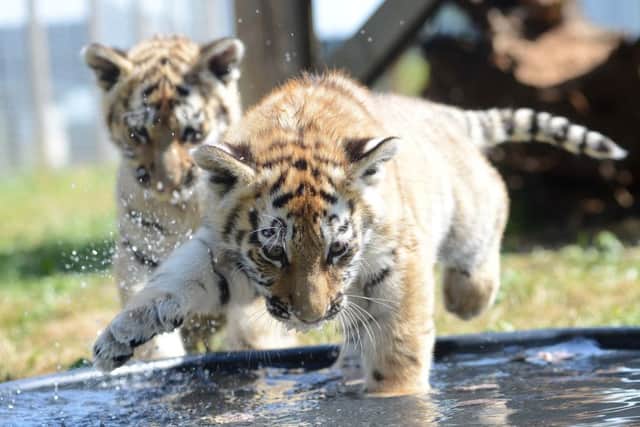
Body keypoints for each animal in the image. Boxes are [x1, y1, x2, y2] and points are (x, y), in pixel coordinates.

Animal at [83, 35, 294, 359]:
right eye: (138, 134)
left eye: (192, 133)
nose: (168, 183)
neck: (183, 207)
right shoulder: (138, 255)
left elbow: (253, 321)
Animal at [92, 72, 625, 394]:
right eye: (273, 252)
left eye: (337, 250)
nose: (307, 317)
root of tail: (439, 111)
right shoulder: (226, 256)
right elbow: (170, 283)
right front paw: (118, 338)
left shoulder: (397, 262)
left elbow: (398, 341)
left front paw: (397, 397)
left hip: (469, 213)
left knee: (492, 206)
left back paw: (465, 295)